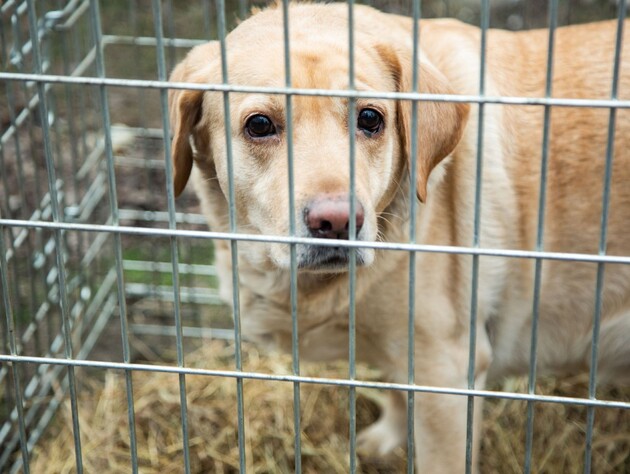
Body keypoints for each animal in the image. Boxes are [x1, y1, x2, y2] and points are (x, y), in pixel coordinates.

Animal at [168, 2, 630, 470]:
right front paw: (389, 436)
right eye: (260, 125)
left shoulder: (445, 376)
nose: (337, 222)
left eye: (370, 119)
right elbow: (396, 388)